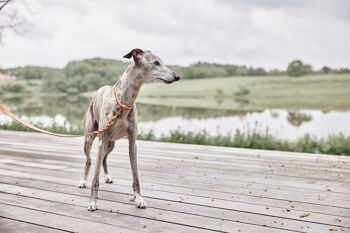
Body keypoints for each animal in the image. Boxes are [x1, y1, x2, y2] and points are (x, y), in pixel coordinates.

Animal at [78, 48, 182, 211]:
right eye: (156, 62)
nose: (177, 76)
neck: (123, 101)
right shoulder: (102, 140)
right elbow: (95, 178)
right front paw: (92, 202)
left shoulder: (132, 142)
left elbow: (136, 176)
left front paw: (139, 199)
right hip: (90, 139)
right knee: (89, 160)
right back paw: (83, 180)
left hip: (111, 144)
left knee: (104, 159)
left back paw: (107, 176)